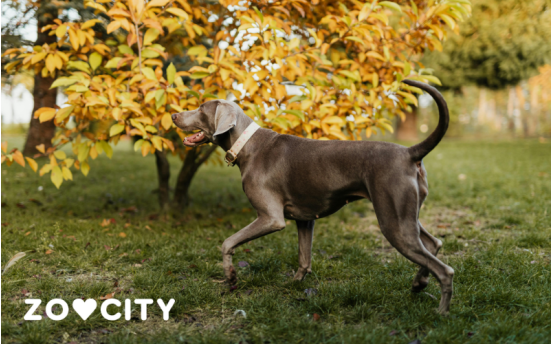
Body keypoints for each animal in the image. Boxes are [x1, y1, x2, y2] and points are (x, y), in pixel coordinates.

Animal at [171, 78, 452, 314]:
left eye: (201, 108)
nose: (173, 114)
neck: (247, 145)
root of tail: (409, 152)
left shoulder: (271, 218)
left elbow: (227, 241)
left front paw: (230, 276)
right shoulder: (305, 219)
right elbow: (304, 258)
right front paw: (293, 285)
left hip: (392, 219)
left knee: (445, 270)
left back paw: (441, 312)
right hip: (406, 214)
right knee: (433, 243)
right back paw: (419, 283)